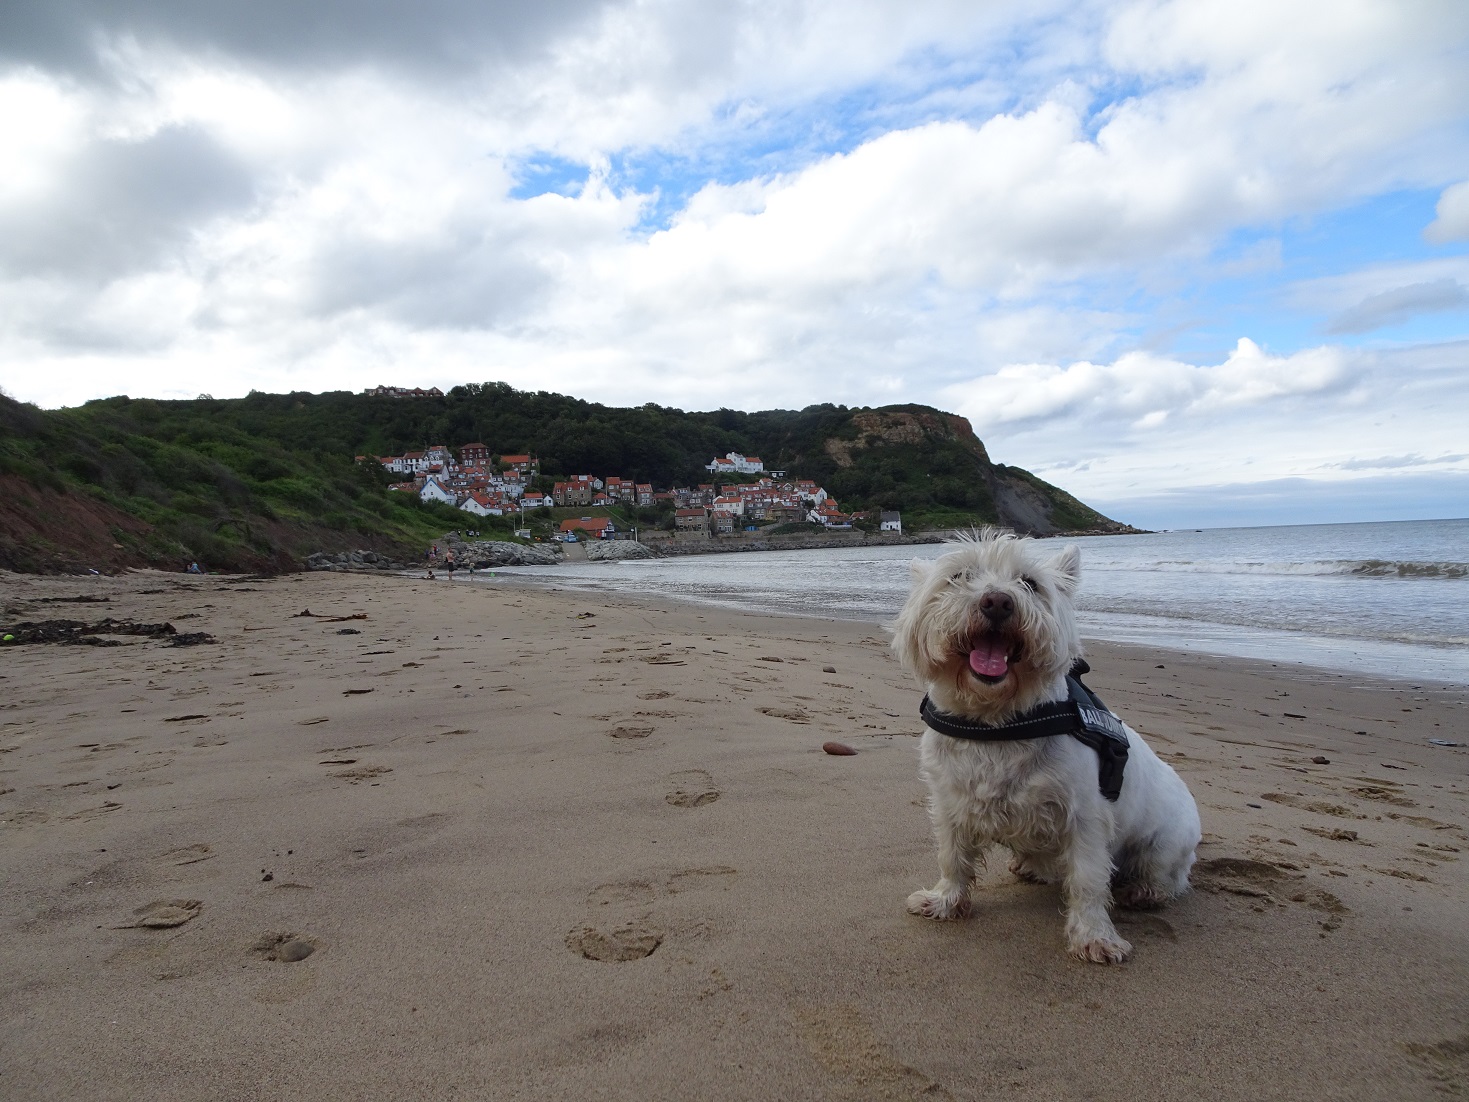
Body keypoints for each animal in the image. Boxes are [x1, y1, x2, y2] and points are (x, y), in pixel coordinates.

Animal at [887, 531, 1198, 963]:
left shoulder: (1085, 818)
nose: (997, 602)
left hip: (1166, 841)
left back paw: (1144, 892)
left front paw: (1095, 937)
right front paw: (944, 901)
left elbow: (1087, 879)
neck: (998, 722)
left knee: (1167, 876)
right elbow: (952, 857)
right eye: (959, 576)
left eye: (1030, 583)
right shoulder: (950, 804)